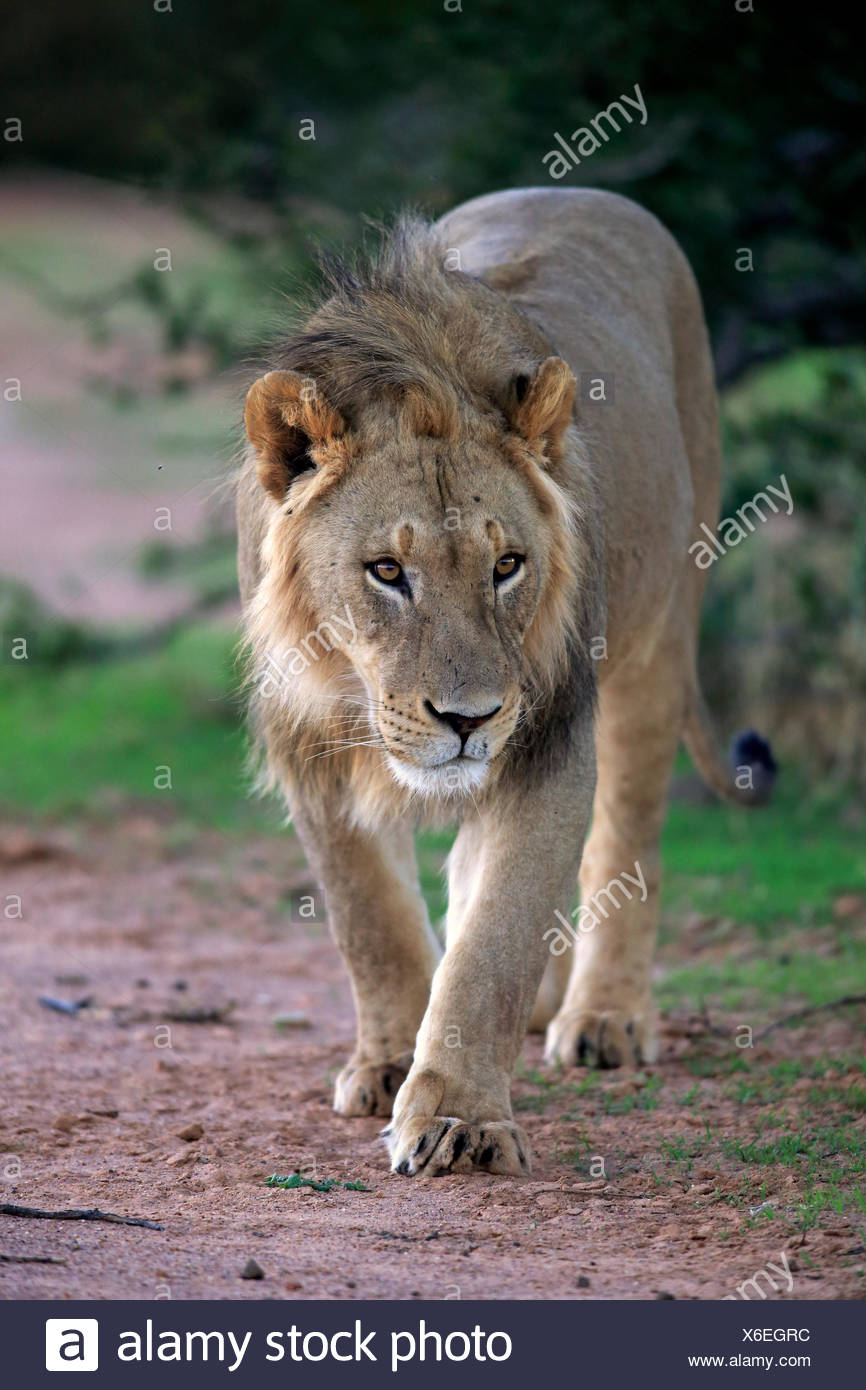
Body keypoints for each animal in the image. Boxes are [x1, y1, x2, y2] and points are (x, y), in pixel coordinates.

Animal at [233, 190, 778, 1178]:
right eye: (386, 572)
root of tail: (594, 193)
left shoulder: (548, 733)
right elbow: (369, 921)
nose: (468, 718)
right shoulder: (308, 746)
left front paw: (458, 1117)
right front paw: (390, 1064)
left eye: (507, 566)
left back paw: (602, 1017)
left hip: (659, 639)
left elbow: (496, 939)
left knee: (626, 843)